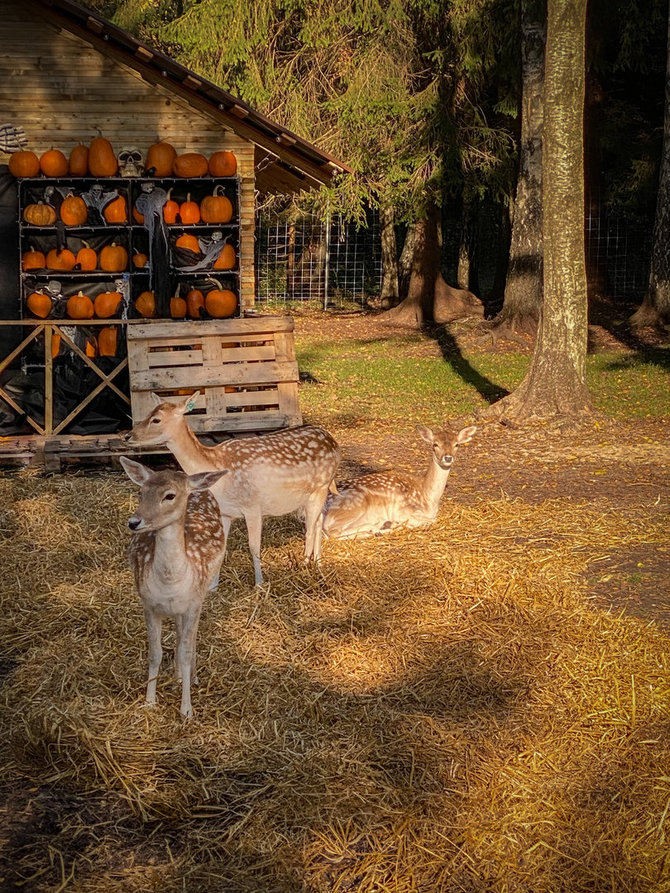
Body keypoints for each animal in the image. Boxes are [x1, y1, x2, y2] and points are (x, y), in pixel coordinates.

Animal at [119, 456, 227, 720]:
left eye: (169, 495)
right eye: (141, 492)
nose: (134, 522)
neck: (170, 582)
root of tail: (196, 486)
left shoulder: (194, 603)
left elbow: (186, 651)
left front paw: (186, 710)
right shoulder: (148, 603)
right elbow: (155, 652)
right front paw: (149, 702)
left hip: (200, 596)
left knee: (189, 639)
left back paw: (191, 678)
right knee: (178, 635)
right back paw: (178, 677)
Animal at [124, 394, 342, 588]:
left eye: (156, 419)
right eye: (148, 413)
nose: (127, 435)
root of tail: (333, 441)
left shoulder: (253, 505)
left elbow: (254, 546)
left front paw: (259, 584)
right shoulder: (225, 511)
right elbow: (222, 546)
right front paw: (213, 587)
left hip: (321, 485)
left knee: (310, 529)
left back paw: (304, 566)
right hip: (314, 494)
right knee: (318, 522)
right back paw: (318, 563)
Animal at [324, 424, 478, 540]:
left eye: (457, 444)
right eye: (435, 444)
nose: (448, 457)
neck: (428, 497)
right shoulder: (401, 510)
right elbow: (427, 521)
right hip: (353, 506)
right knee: (332, 532)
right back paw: (382, 527)